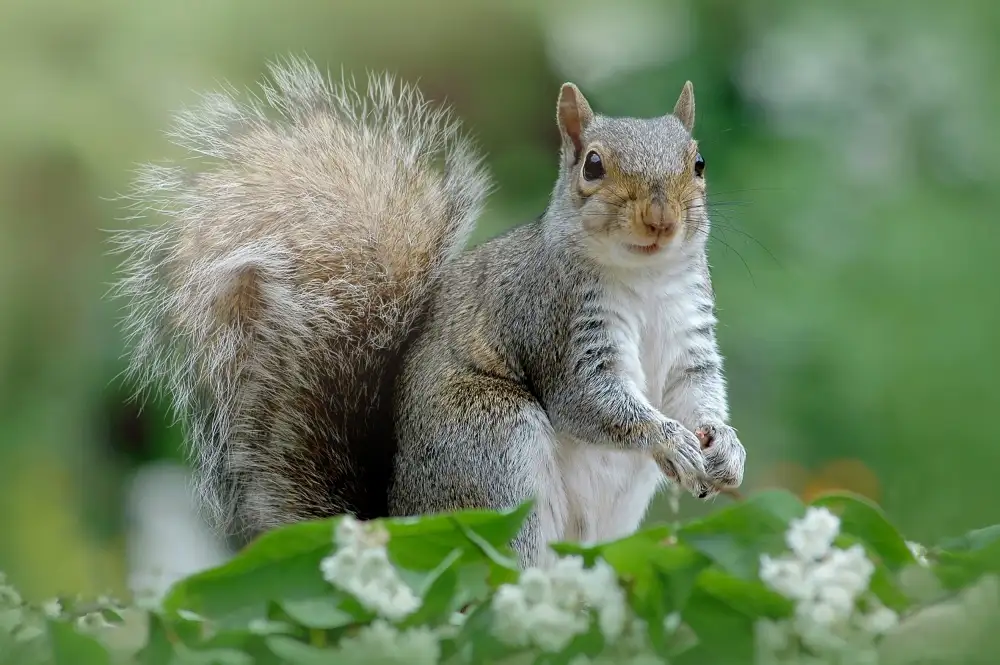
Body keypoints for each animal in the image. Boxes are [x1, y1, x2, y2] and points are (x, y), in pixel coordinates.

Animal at [112, 57, 745, 567]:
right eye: (592, 165)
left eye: (698, 162)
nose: (661, 220)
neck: (644, 280)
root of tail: (398, 522)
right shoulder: (553, 322)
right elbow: (590, 401)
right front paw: (669, 439)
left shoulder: (689, 338)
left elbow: (697, 391)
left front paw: (725, 448)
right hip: (491, 448)